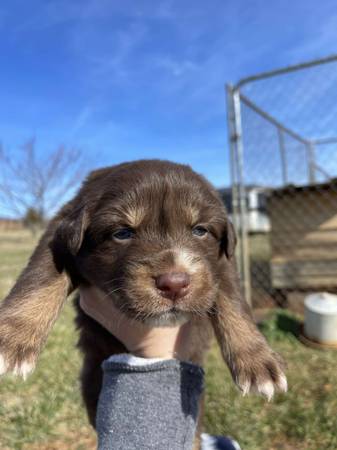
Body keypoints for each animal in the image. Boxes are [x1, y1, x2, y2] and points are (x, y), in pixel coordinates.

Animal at [0, 159, 284, 436]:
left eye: (200, 230)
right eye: (123, 233)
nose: (174, 284)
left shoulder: (222, 262)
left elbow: (233, 300)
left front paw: (258, 363)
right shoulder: (57, 237)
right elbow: (41, 275)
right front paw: (12, 339)